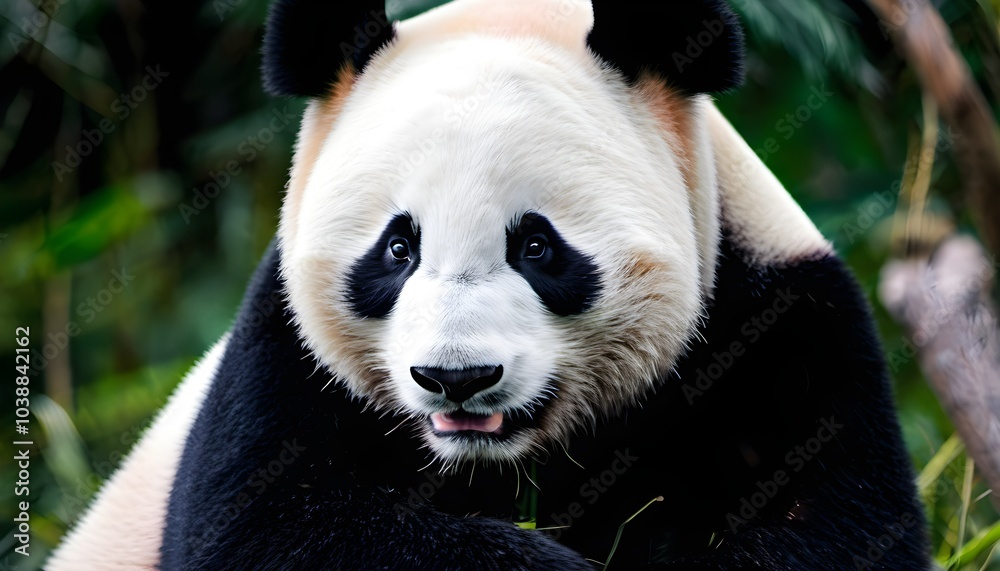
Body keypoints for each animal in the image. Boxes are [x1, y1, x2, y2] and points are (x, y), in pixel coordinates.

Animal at [48, 0, 931, 569]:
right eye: (397, 247)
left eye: (537, 245)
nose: (457, 377)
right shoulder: (285, 353)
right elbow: (275, 527)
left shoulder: (782, 328)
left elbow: (828, 527)